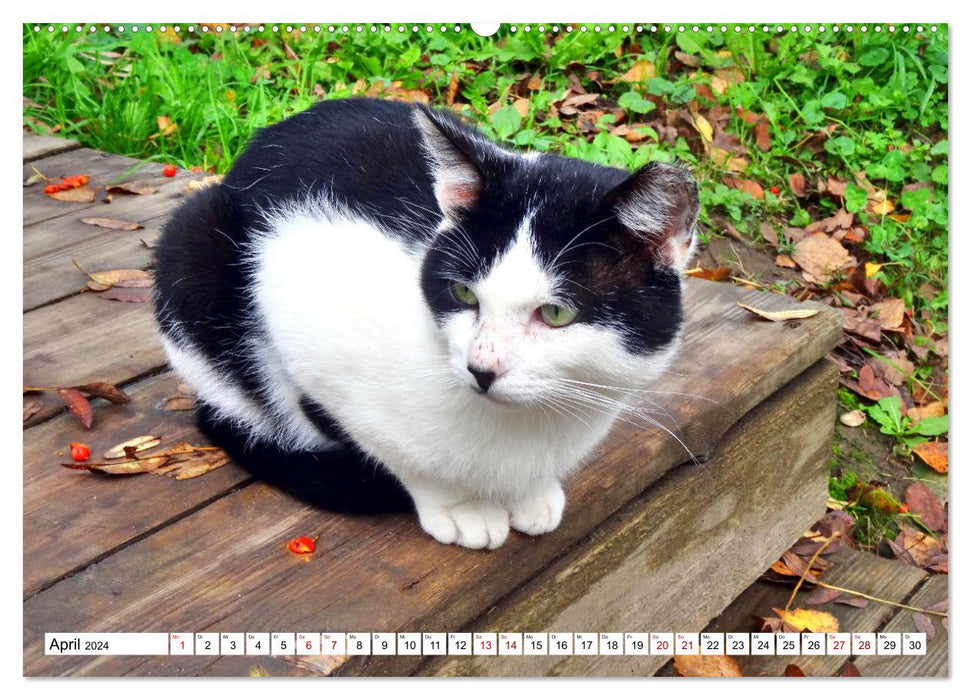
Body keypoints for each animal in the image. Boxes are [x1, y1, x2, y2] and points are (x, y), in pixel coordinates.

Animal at [152, 97, 700, 548]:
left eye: (556, 313)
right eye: (464, 293)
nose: (481, 369)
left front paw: (532, 492)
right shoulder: (296, 299)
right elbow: (379, 444)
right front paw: (458, 506)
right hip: (192, 238)